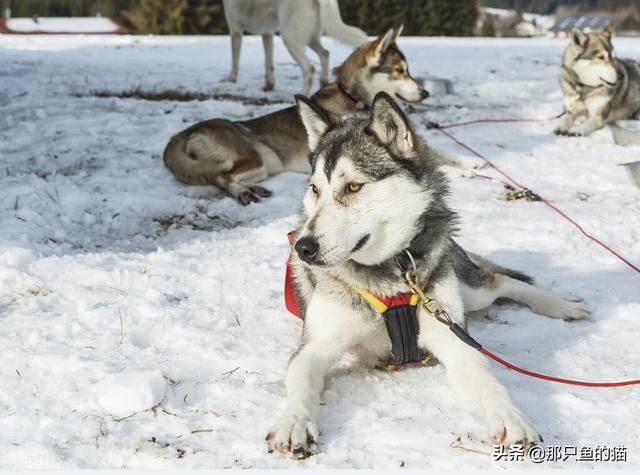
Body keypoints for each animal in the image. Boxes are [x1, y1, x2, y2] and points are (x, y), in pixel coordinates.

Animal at [162, 26, 428, 205]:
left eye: (407, 70)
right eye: (399, 71)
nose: (425, 93)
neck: (352, 97)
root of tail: (179, 136)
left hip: (266, 165)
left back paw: (254, 189)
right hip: (257, 159)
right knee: (222, 176)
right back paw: (243, 192)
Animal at [221, 0, 368, 94]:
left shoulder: (235, 31)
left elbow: (235, 61)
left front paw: (230, 79)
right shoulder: (267, 34)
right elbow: (268, 63)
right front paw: (269, 86)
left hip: (289, 39)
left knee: (310, 69)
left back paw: (301, 96)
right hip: (309, 39)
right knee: (325, 53)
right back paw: (323, 83)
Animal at [264, 92, 592, 458]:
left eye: (353, 187)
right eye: (315, 189)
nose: (303, 247)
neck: (392, 273)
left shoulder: (455, 339)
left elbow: (487, 381)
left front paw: (511, 417)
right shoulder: (314, 347)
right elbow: (303, 383)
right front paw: (293, 421)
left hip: (469, 293)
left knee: (502, 282)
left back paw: (561, 306)